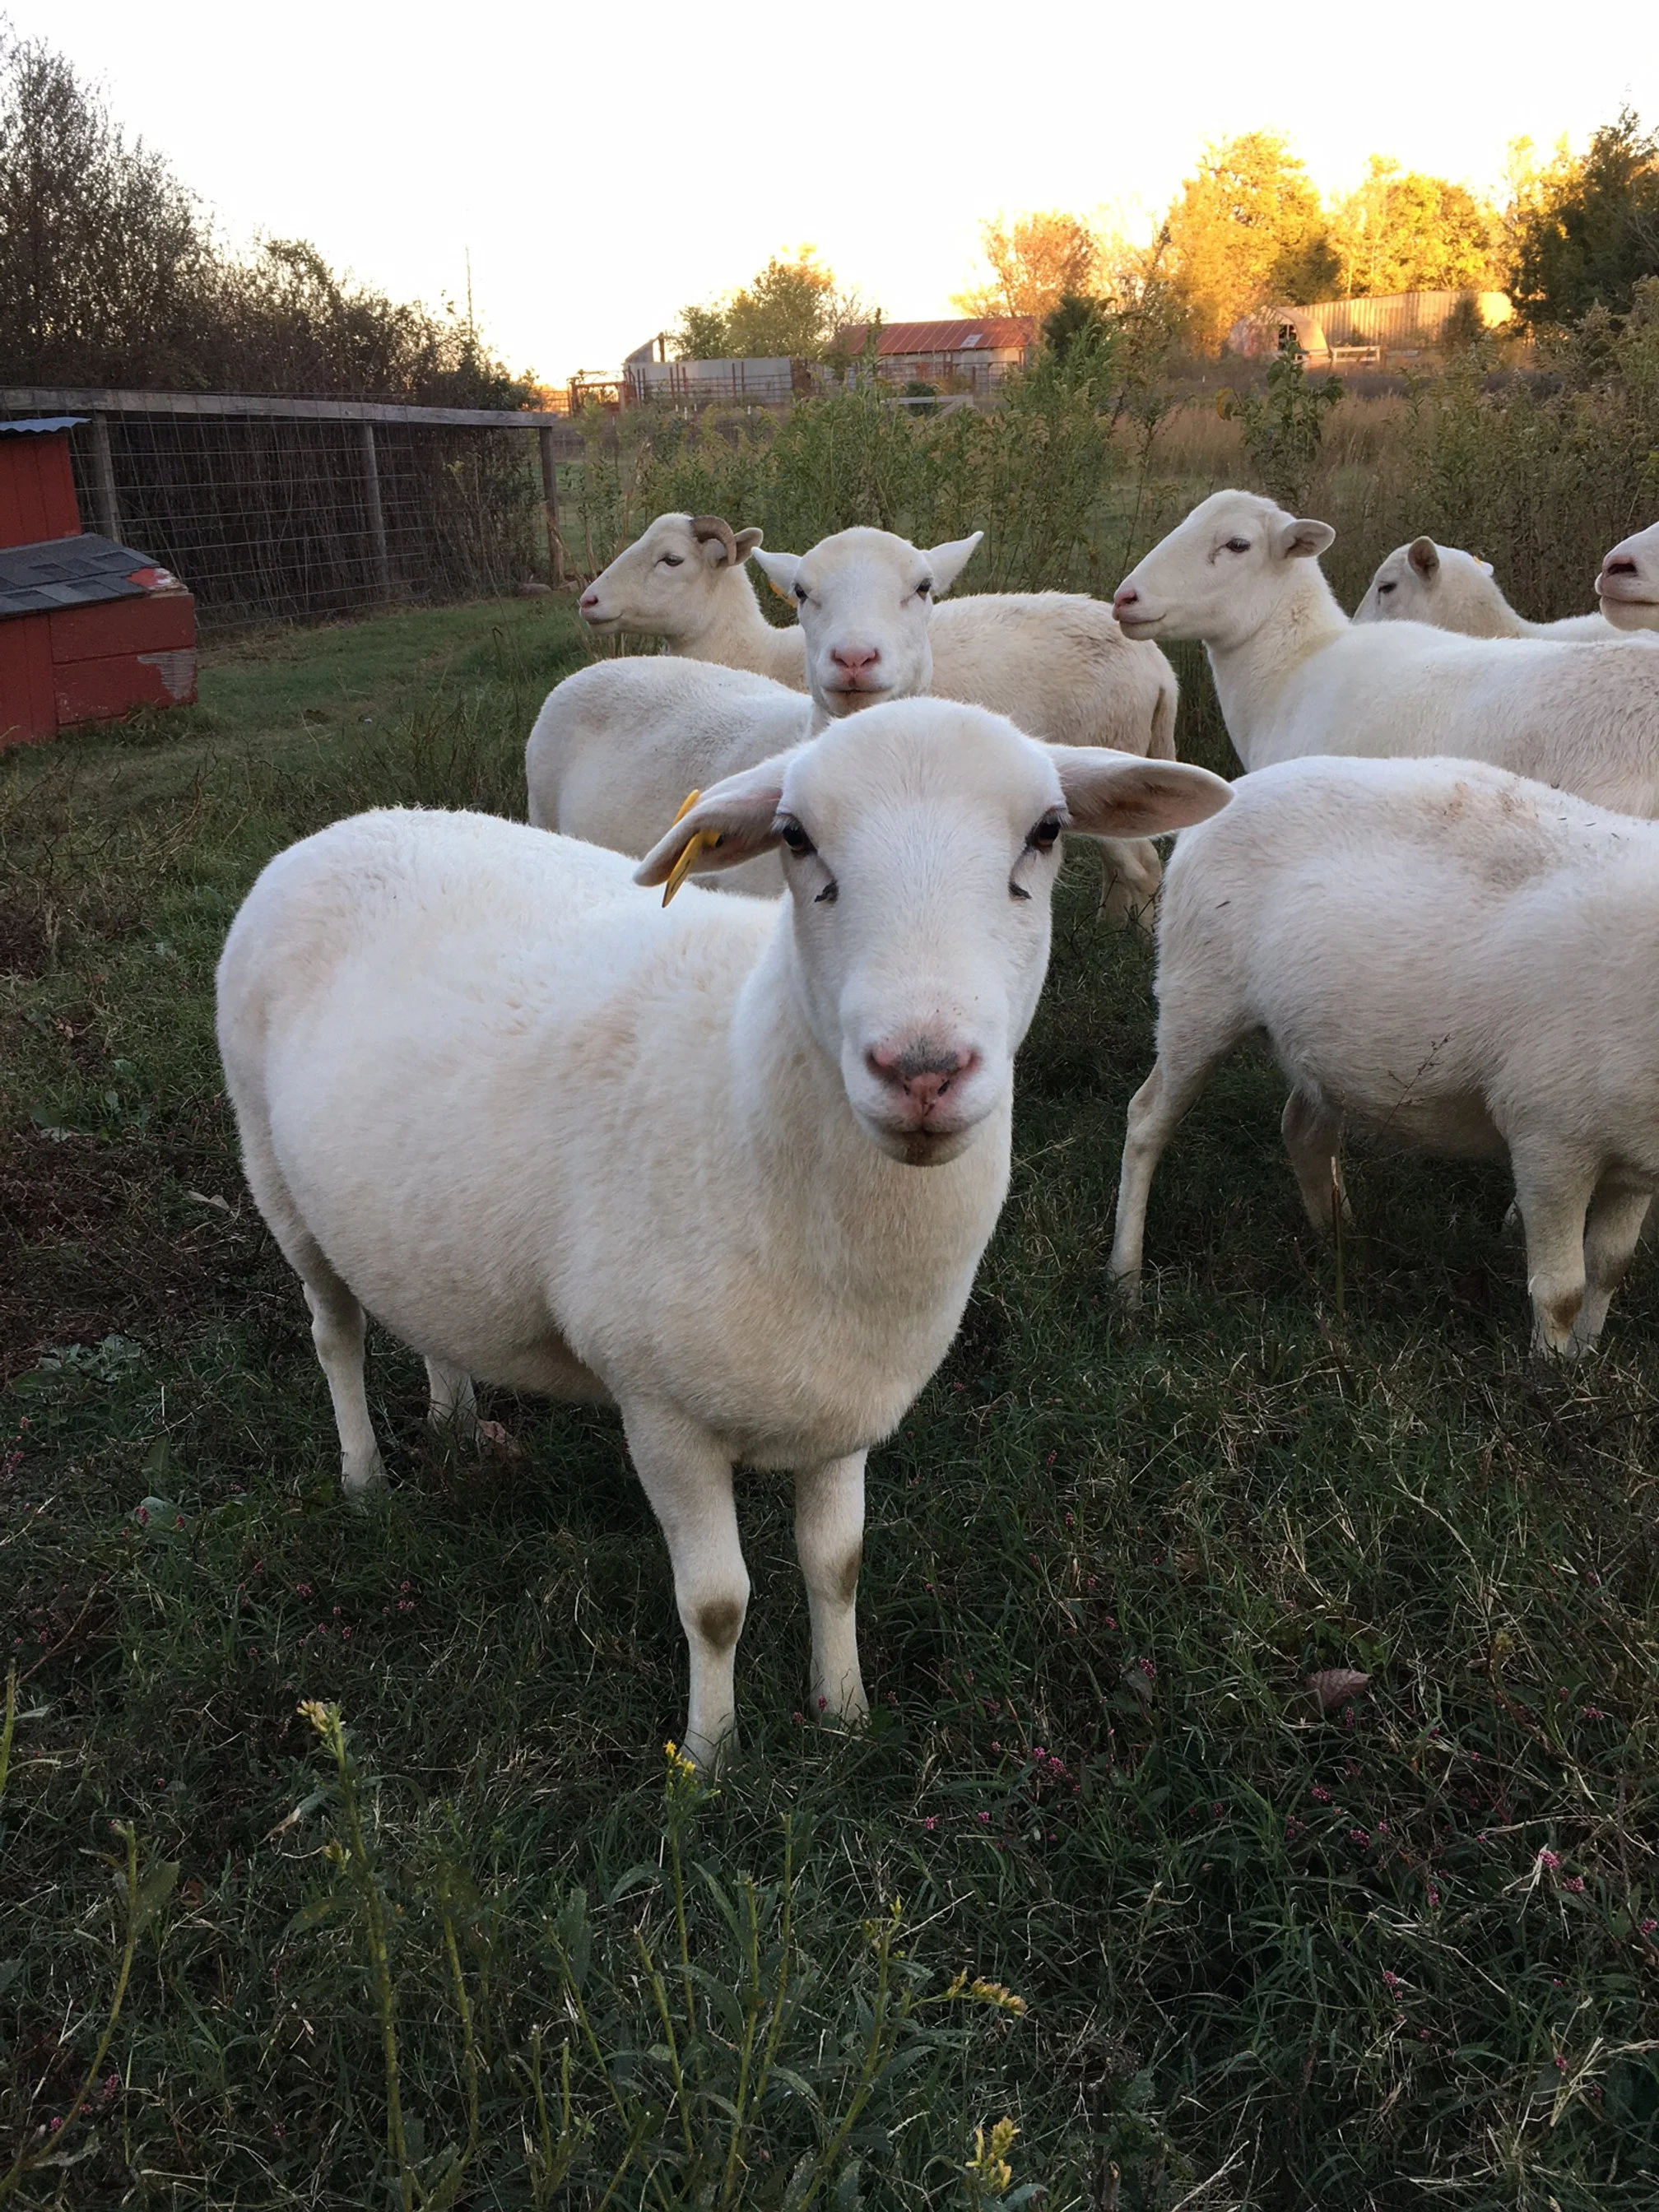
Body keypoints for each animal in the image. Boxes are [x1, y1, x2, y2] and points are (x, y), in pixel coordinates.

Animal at [217, 700, 1231, 1763]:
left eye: (1046, 831)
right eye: (795, 837)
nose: (922, 1068)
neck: (746, 1092)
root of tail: (355, 824)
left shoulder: (845, 1408)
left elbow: (838, 1565)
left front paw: (844, 1713)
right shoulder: (662, 1417)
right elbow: (714, 1605)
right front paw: (708, 1759)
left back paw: (455, 1425)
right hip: (273, 1172)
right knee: (336, 1333)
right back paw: (364, 1476)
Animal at [1108, 753, 1659, 1356]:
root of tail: (1231, 791)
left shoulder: (1632, 1162)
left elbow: (1610, 1265)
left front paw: (1587, 1359)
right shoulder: (1550, 1139)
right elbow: (1561, 1291)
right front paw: (1551, 1372)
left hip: (1315, 1037)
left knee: (1303, 1129)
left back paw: (1341, 1240)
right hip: (1199, 999)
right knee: (1147, 1122)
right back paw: (1125, 1279)